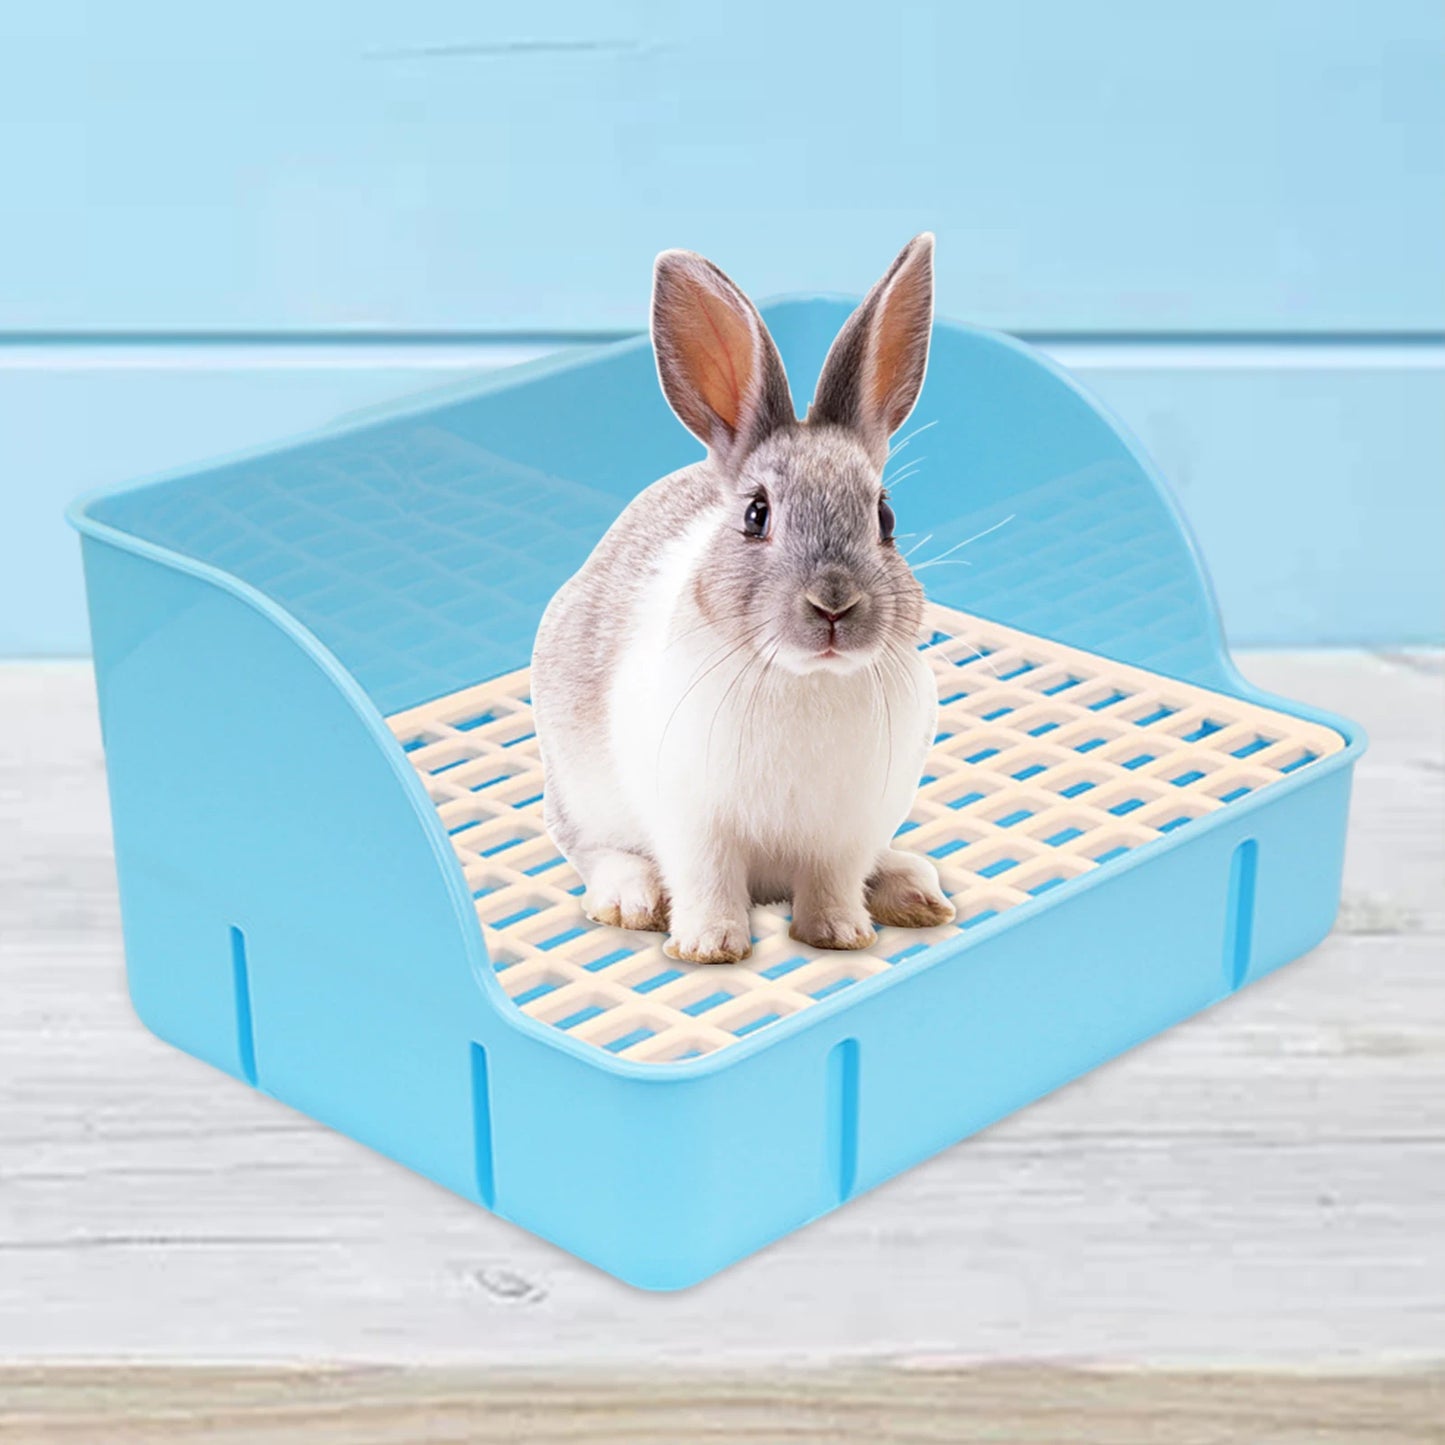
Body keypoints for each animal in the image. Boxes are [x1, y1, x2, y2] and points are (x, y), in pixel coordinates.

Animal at [530, 234, 954, 964]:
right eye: (756, 515)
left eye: (885, 517)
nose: (834, 605)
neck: (806, 678)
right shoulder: (694, 822)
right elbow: (707, 879)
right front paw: (709, 946)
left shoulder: (845, 831)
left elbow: (833, 882)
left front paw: (840, 935)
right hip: (579, 792)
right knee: (590, 848)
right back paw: (631, 898)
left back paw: (913, 890)